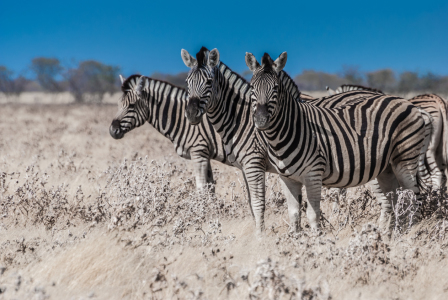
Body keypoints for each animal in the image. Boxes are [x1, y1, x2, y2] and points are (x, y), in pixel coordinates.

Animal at [181, 47, 388, 236]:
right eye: (187, 82)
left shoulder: (254, 163)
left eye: (209, 82)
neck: (240, 118)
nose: (190, 114)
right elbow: (252, 204)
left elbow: (258, 203)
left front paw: (260, 237)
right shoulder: (245, 167)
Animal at [247, 51, 432, 231]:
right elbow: (293, 215)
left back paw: (410, 231)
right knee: (394, 200)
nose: (261, 121)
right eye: (252, 88)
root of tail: (410, 104)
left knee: (413, 199)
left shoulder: (313, 174)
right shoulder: (287, 179)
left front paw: (317, 240)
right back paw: (390, 233)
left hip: (405, 160)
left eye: (276, 88)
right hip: (386, 168)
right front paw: (295, 239)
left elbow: (313, 215)